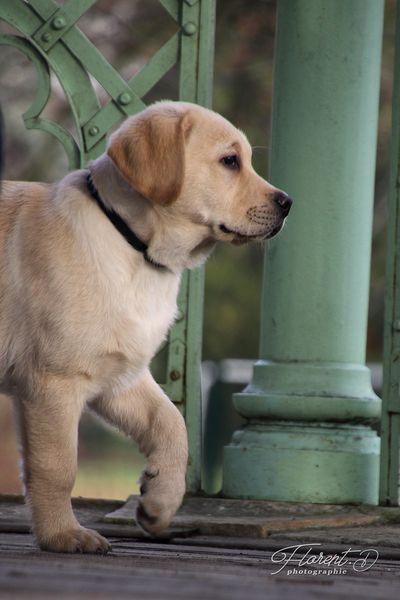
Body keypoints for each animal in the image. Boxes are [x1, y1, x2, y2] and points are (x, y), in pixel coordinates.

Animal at [0, 102, 294, 552]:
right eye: (230, 161)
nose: (288, 202)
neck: (133, 247)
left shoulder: (120, 376)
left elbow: (173, 426)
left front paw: (159, 502)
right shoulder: (55, 381)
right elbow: (58, 467)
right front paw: (62, 534)